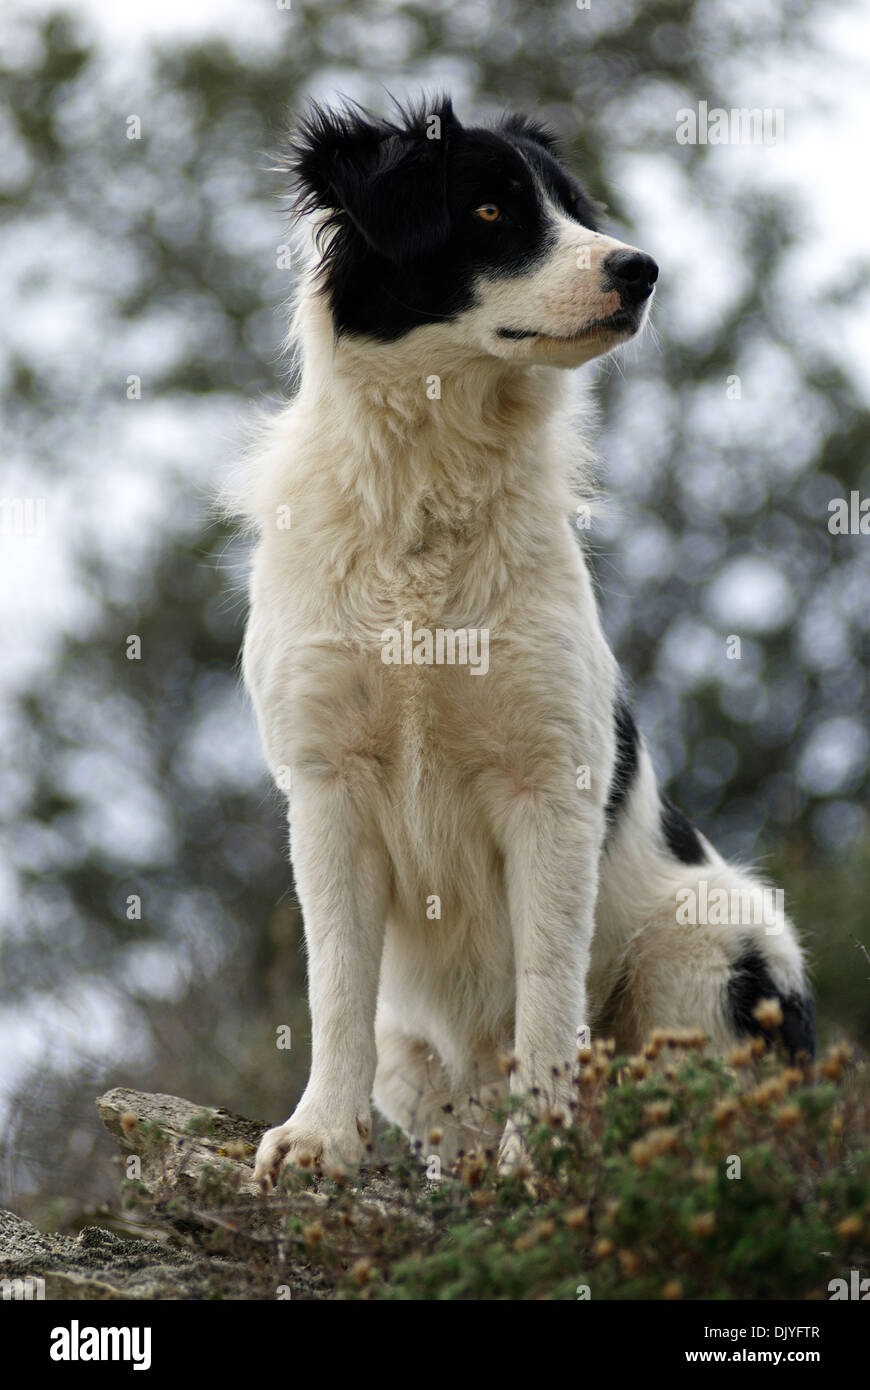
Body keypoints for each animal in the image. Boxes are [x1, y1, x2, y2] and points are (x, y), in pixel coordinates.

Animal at [233, 97, 811, 1184]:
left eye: (575, 208)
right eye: (492, 208)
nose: (641, 269)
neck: (432, 485)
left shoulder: (548, 786)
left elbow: (547, 989)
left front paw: (538, 1159)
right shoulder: (328, 785)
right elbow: (335, 984)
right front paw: (320, 1136)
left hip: (713, 951)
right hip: (420, 1052)